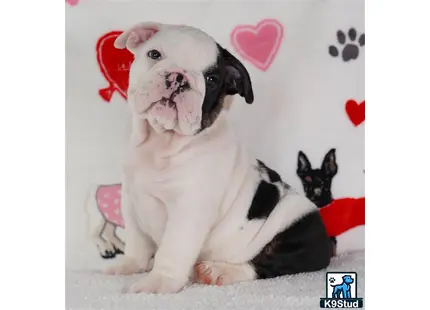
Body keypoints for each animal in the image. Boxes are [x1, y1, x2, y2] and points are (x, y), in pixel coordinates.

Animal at [105, 21, 332, 294]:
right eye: (154, 54)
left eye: (212, 80)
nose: (179, 76)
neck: (161, 143)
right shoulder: (131, 200)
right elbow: (137, 241)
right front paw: (130, 265)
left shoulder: (189, 210)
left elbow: (172, 249)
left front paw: (158, 282)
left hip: (298, 230)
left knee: (265, 265)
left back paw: (219, 271)